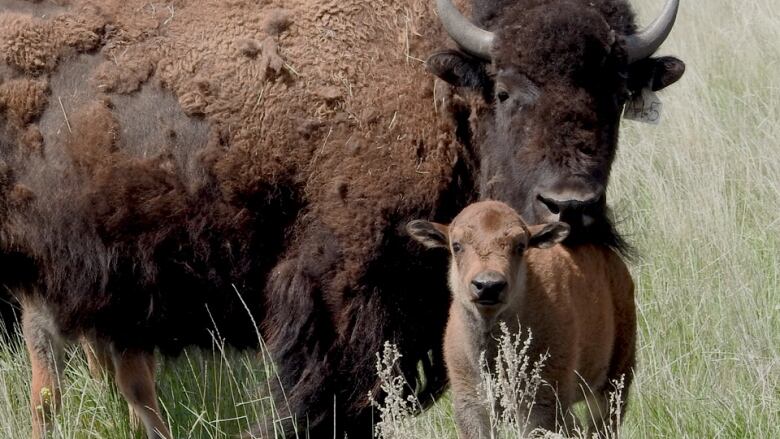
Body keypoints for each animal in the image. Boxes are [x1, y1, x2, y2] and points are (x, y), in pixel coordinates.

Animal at [408, 201, 632, 438]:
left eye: (520, 245)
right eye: (457, 245)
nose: (488, 286)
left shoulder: (541, 406)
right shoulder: (472, 405)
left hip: (615, 380)